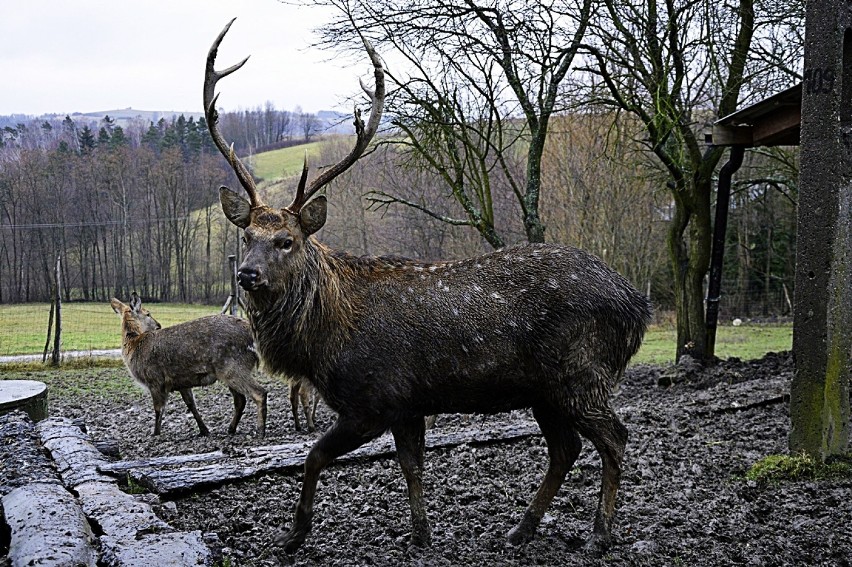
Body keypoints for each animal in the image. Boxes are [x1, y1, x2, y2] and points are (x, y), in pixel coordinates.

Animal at [110, 292, 266, 440]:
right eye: (148, 313)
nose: (158, 325)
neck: (135, 346)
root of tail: (252, 335)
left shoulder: (155, 379)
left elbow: (158, 409)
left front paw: (155, 434)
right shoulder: (180, 381)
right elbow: (191, 405)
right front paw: (204, 430)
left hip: (233, 366)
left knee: (259, 392)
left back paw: (260, 430)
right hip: (231, 369)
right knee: (241, 400)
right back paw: (231, 428)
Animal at [205, 20, 652, 556]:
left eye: (286, 240)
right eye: (245, 236)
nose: (247, 275)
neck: (324, 341)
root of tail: (638, 305)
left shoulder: (372, 399)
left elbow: (314, 456)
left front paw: (295, 534)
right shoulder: (407, 403)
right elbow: (412, 466)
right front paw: (421, 533)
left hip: (582, 372)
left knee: (615, 437)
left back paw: (599, 533)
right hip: (546, 388)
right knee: (566, 447)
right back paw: (519, 529)